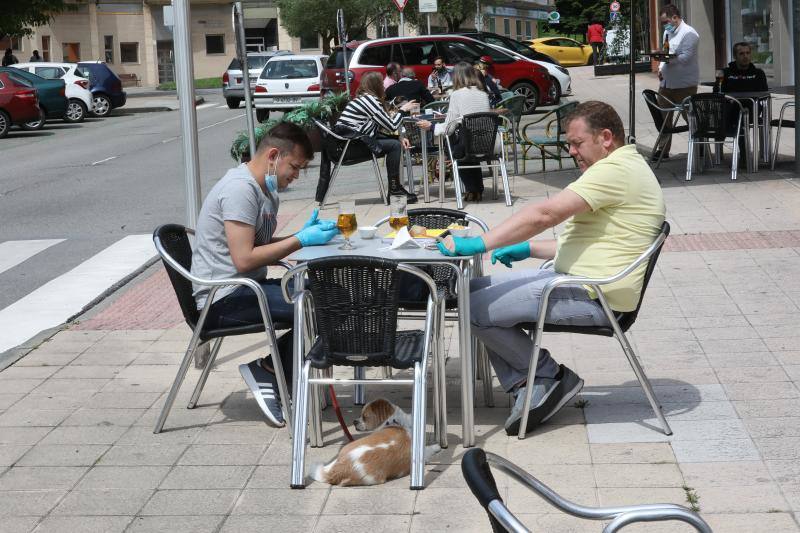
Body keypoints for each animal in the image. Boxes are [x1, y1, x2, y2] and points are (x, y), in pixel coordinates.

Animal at [312, 396, 440, 484]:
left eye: (365, 417)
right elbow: (429, 449)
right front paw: (436, 446)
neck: (393, 422)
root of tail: (337, 470)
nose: (354, 421)